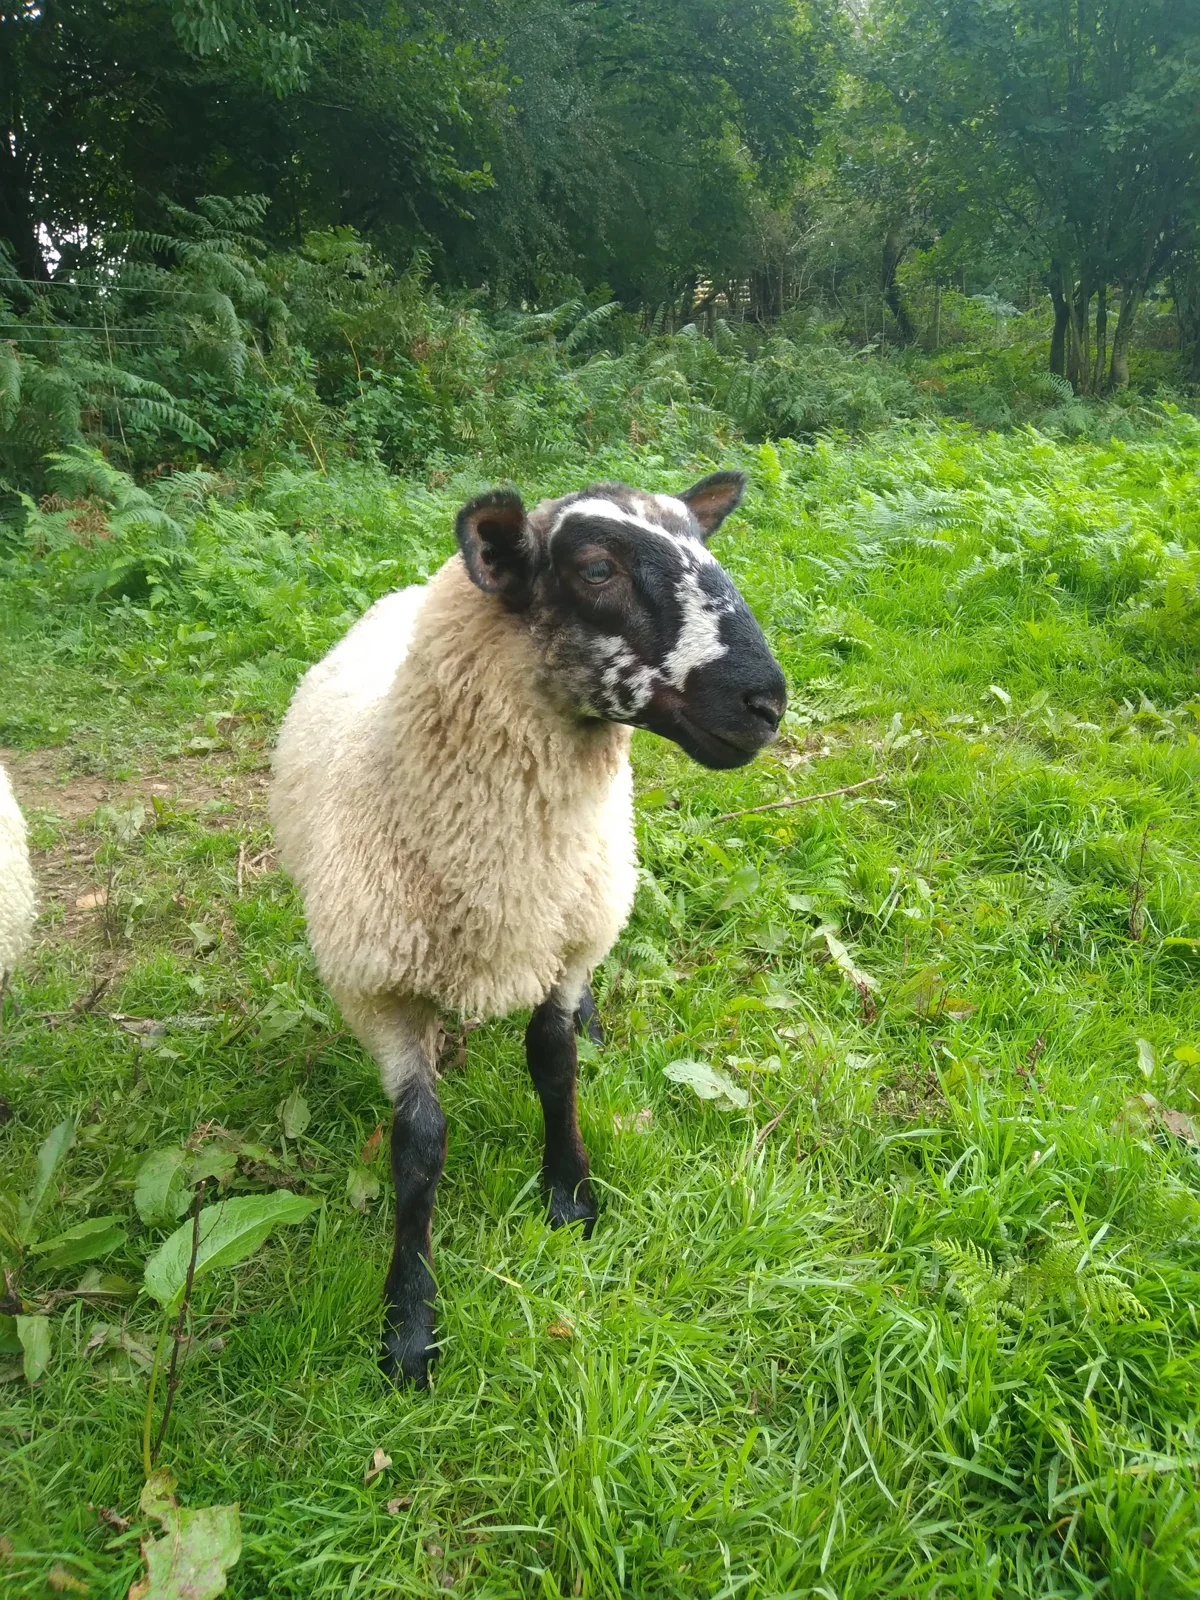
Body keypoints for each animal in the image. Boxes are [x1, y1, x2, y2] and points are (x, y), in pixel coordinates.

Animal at [270, 471, 786, 1385]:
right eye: (595, 569)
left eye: (705, 543)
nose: (767, 703)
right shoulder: (378, 991)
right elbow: (418, 1145)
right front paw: (409, 1321)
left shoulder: (566, 940)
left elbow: (555, 1065)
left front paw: (570, 1194)